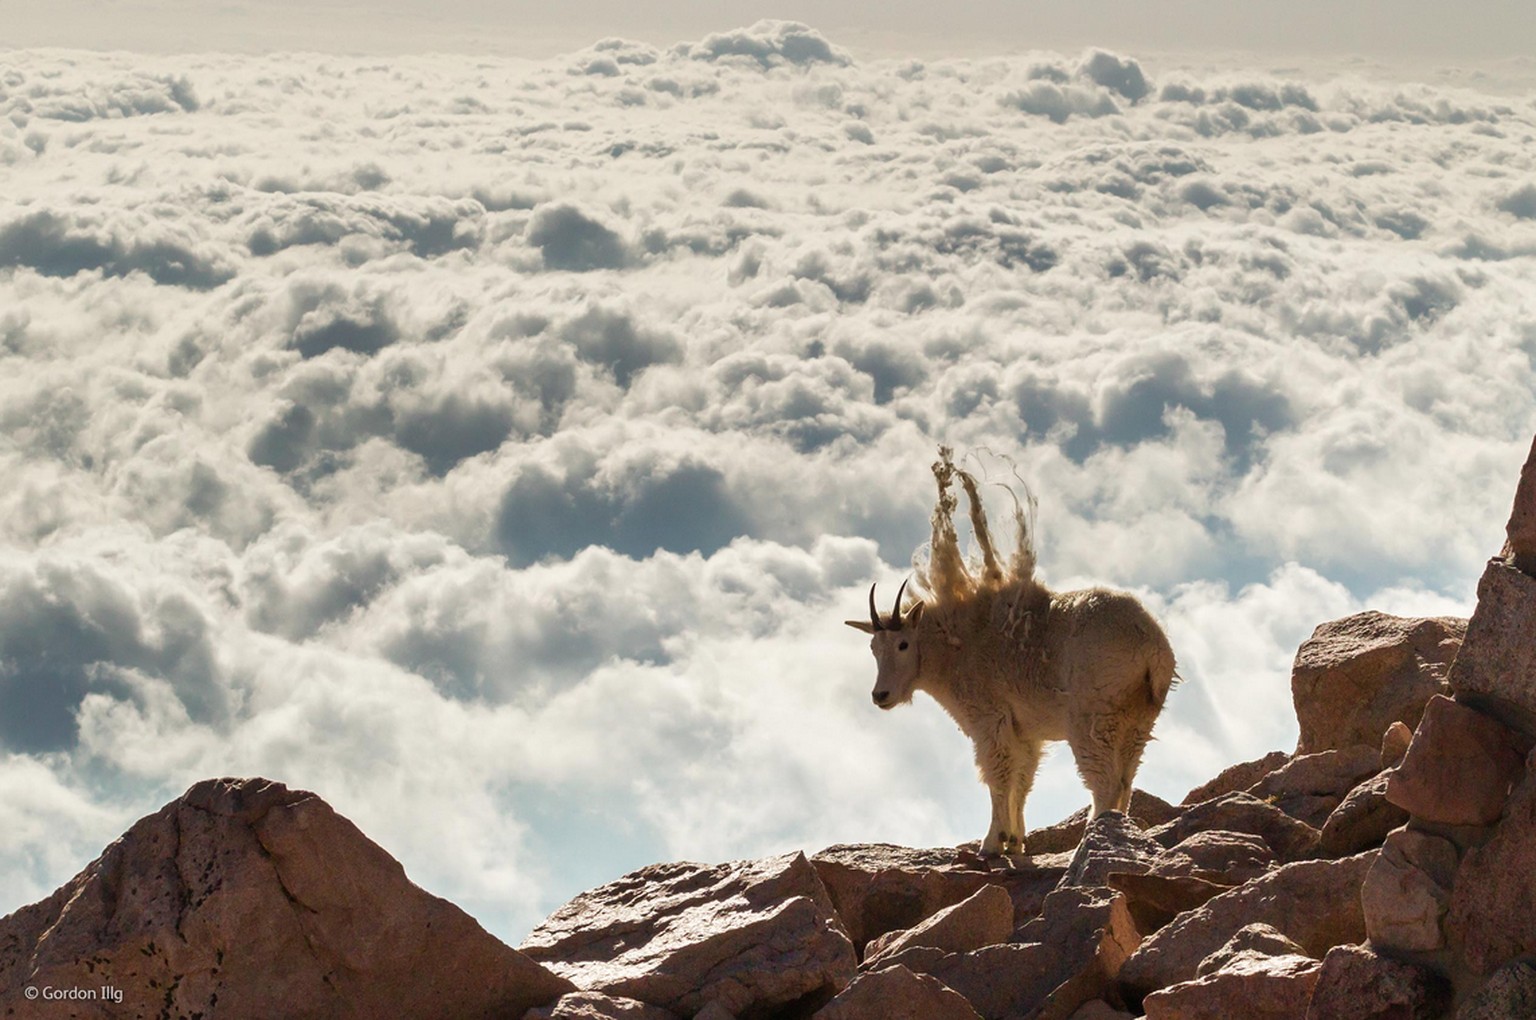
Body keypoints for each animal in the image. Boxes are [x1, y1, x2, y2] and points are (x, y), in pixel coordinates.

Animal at [854, 451, 1173, 854]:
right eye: (872, 647)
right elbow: (1022, 781)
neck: (957, 644)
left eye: (903, 644)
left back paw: (1090, 841)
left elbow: (998, 777)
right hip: (1138, 719)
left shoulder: (989, 720)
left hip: (1093, 719)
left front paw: (993, 843)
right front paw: (1016, 842)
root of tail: (1152, 647)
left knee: (1104, 781)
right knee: (1127, 779)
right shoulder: (1026, 731)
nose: (881, 695)